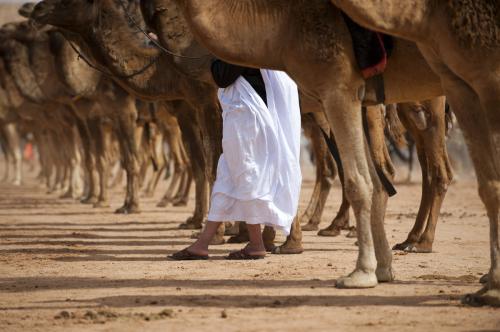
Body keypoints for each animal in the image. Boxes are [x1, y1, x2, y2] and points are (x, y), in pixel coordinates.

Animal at [326, 0, 498, 306]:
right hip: (417, 108)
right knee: (430, 170)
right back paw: (412, 239)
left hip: (432, 104)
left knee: (439, 171)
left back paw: (424, 243)